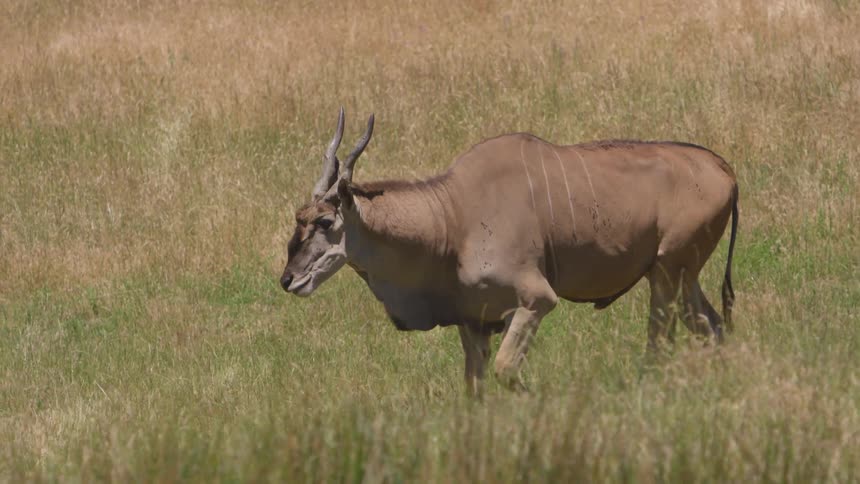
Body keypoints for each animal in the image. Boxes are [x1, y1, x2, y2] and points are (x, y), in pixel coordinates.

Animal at [281, 108, 739, 396]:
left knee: (660, 343)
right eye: (298, 217)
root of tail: (724, 169)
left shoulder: (536, 300)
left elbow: (506, 371)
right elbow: (475, 386)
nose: (288, 279)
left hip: (667, 271)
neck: (453, 216)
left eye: (325, 222)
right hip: (683, 275)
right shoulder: (473, 321)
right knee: (713, 328)